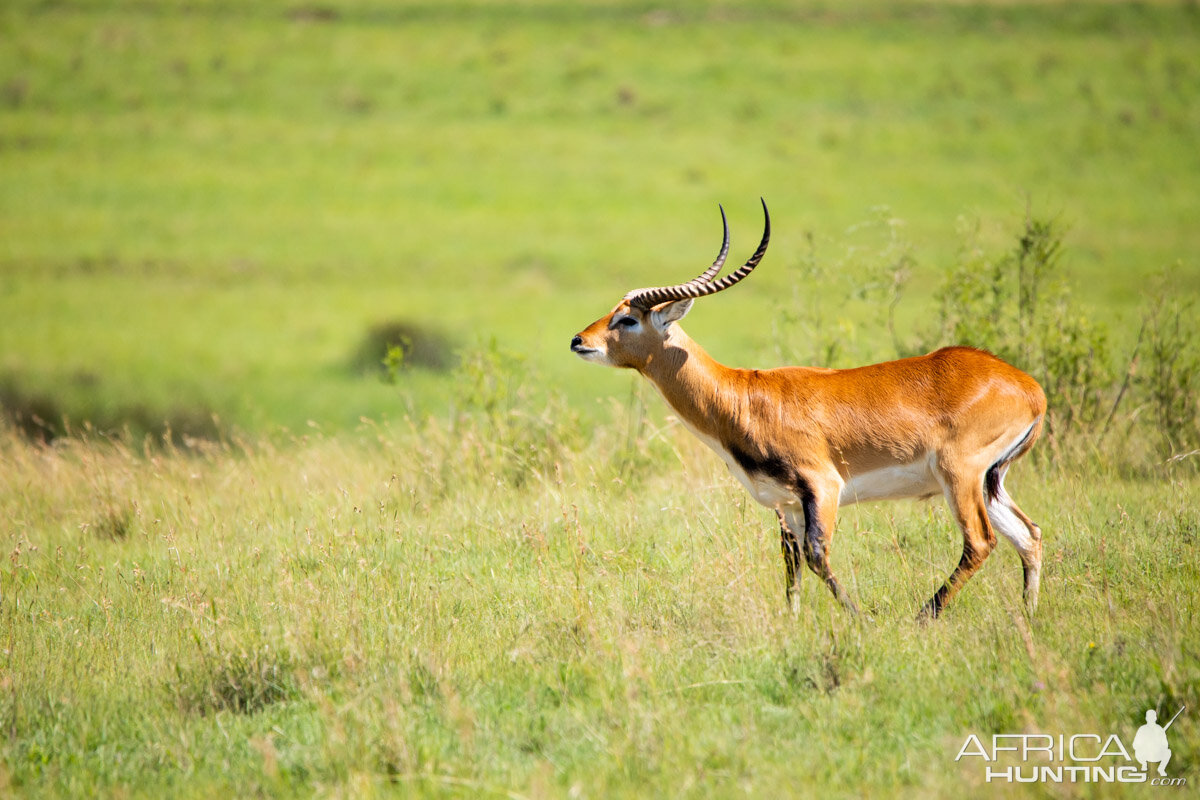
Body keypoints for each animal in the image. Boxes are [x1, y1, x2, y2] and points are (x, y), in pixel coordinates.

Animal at [566, 201, 1046, 618]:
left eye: (628, 319)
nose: (577, 340)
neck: (743, 396)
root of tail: (1030, 388)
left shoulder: (824, 487)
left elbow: (817, 558)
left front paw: (860, 618)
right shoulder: (788, 504)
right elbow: (791, 566)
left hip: (959, 475)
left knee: (980, 542)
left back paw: (923, 617)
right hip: (989, 481)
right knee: (1030, 535)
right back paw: (1027, 616)